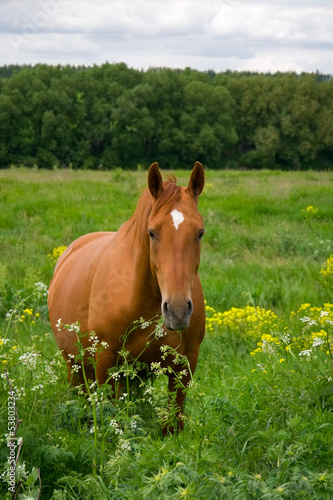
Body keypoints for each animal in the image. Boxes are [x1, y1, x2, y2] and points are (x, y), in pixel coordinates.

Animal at [48, 161, 205, 434]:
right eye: (151, 233)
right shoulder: (105, 362)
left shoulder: (185, 365)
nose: (177, 310)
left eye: (200, 233)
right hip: (74, 364)